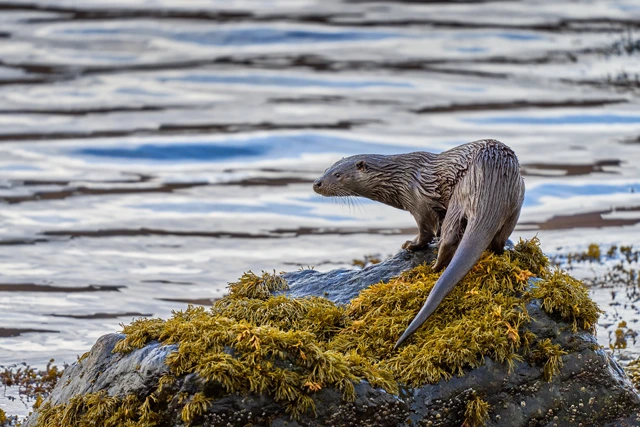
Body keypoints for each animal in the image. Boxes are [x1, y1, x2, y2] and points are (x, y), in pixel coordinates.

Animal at [313, 139, 525, 348]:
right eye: (326, 169)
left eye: (338, 175)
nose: (316, 183)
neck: (400, 179)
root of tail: (492, 182)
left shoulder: (418, 203)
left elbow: (426, 231)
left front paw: (410, 244)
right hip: (517, 201)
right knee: (499, 238)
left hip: (460, 197)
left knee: (449, 237)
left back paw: (435, 266)